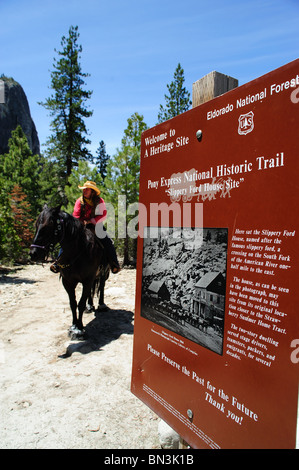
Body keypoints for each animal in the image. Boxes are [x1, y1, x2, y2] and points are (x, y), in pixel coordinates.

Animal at [29, 204, 109, 340]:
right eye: (36, 225)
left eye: (48, 226)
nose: (33, 253)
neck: (76, 252)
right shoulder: (68, 281)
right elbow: (73, 303)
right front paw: (73, 326)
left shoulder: (87, 280)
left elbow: (80, 303)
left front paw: (80, 328)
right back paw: (90, 306)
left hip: (103, 273)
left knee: (101, 287)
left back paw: (101, 305)